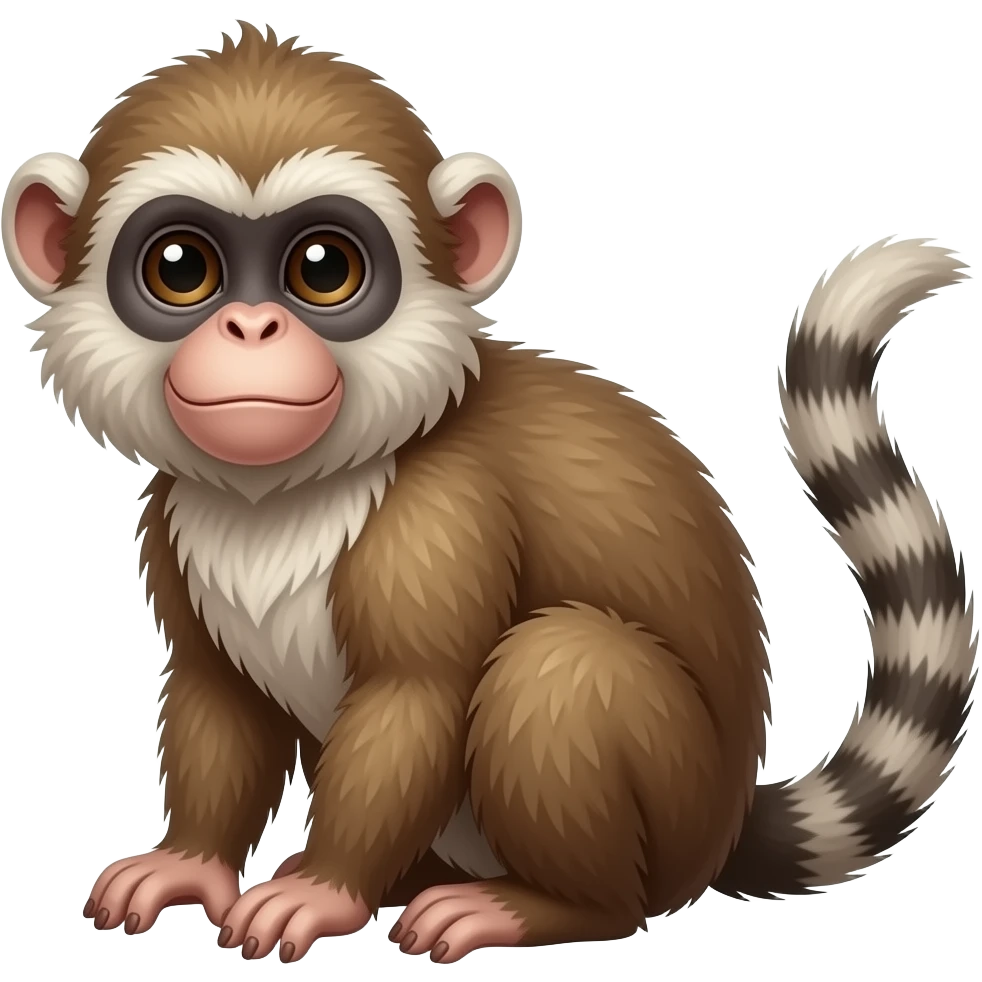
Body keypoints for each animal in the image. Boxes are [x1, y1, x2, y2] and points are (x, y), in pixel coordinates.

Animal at [3, 22, 977, 966]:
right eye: (181, 268)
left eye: (323, 268)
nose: (251, 330)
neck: (282, 495)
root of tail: (725, 823)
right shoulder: (172, 519)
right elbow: (219, 693)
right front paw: (192, 864)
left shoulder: (445, 514)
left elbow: (417, 696)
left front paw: (322, 888)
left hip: (670, 810)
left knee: (565, 667)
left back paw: (547, 906)